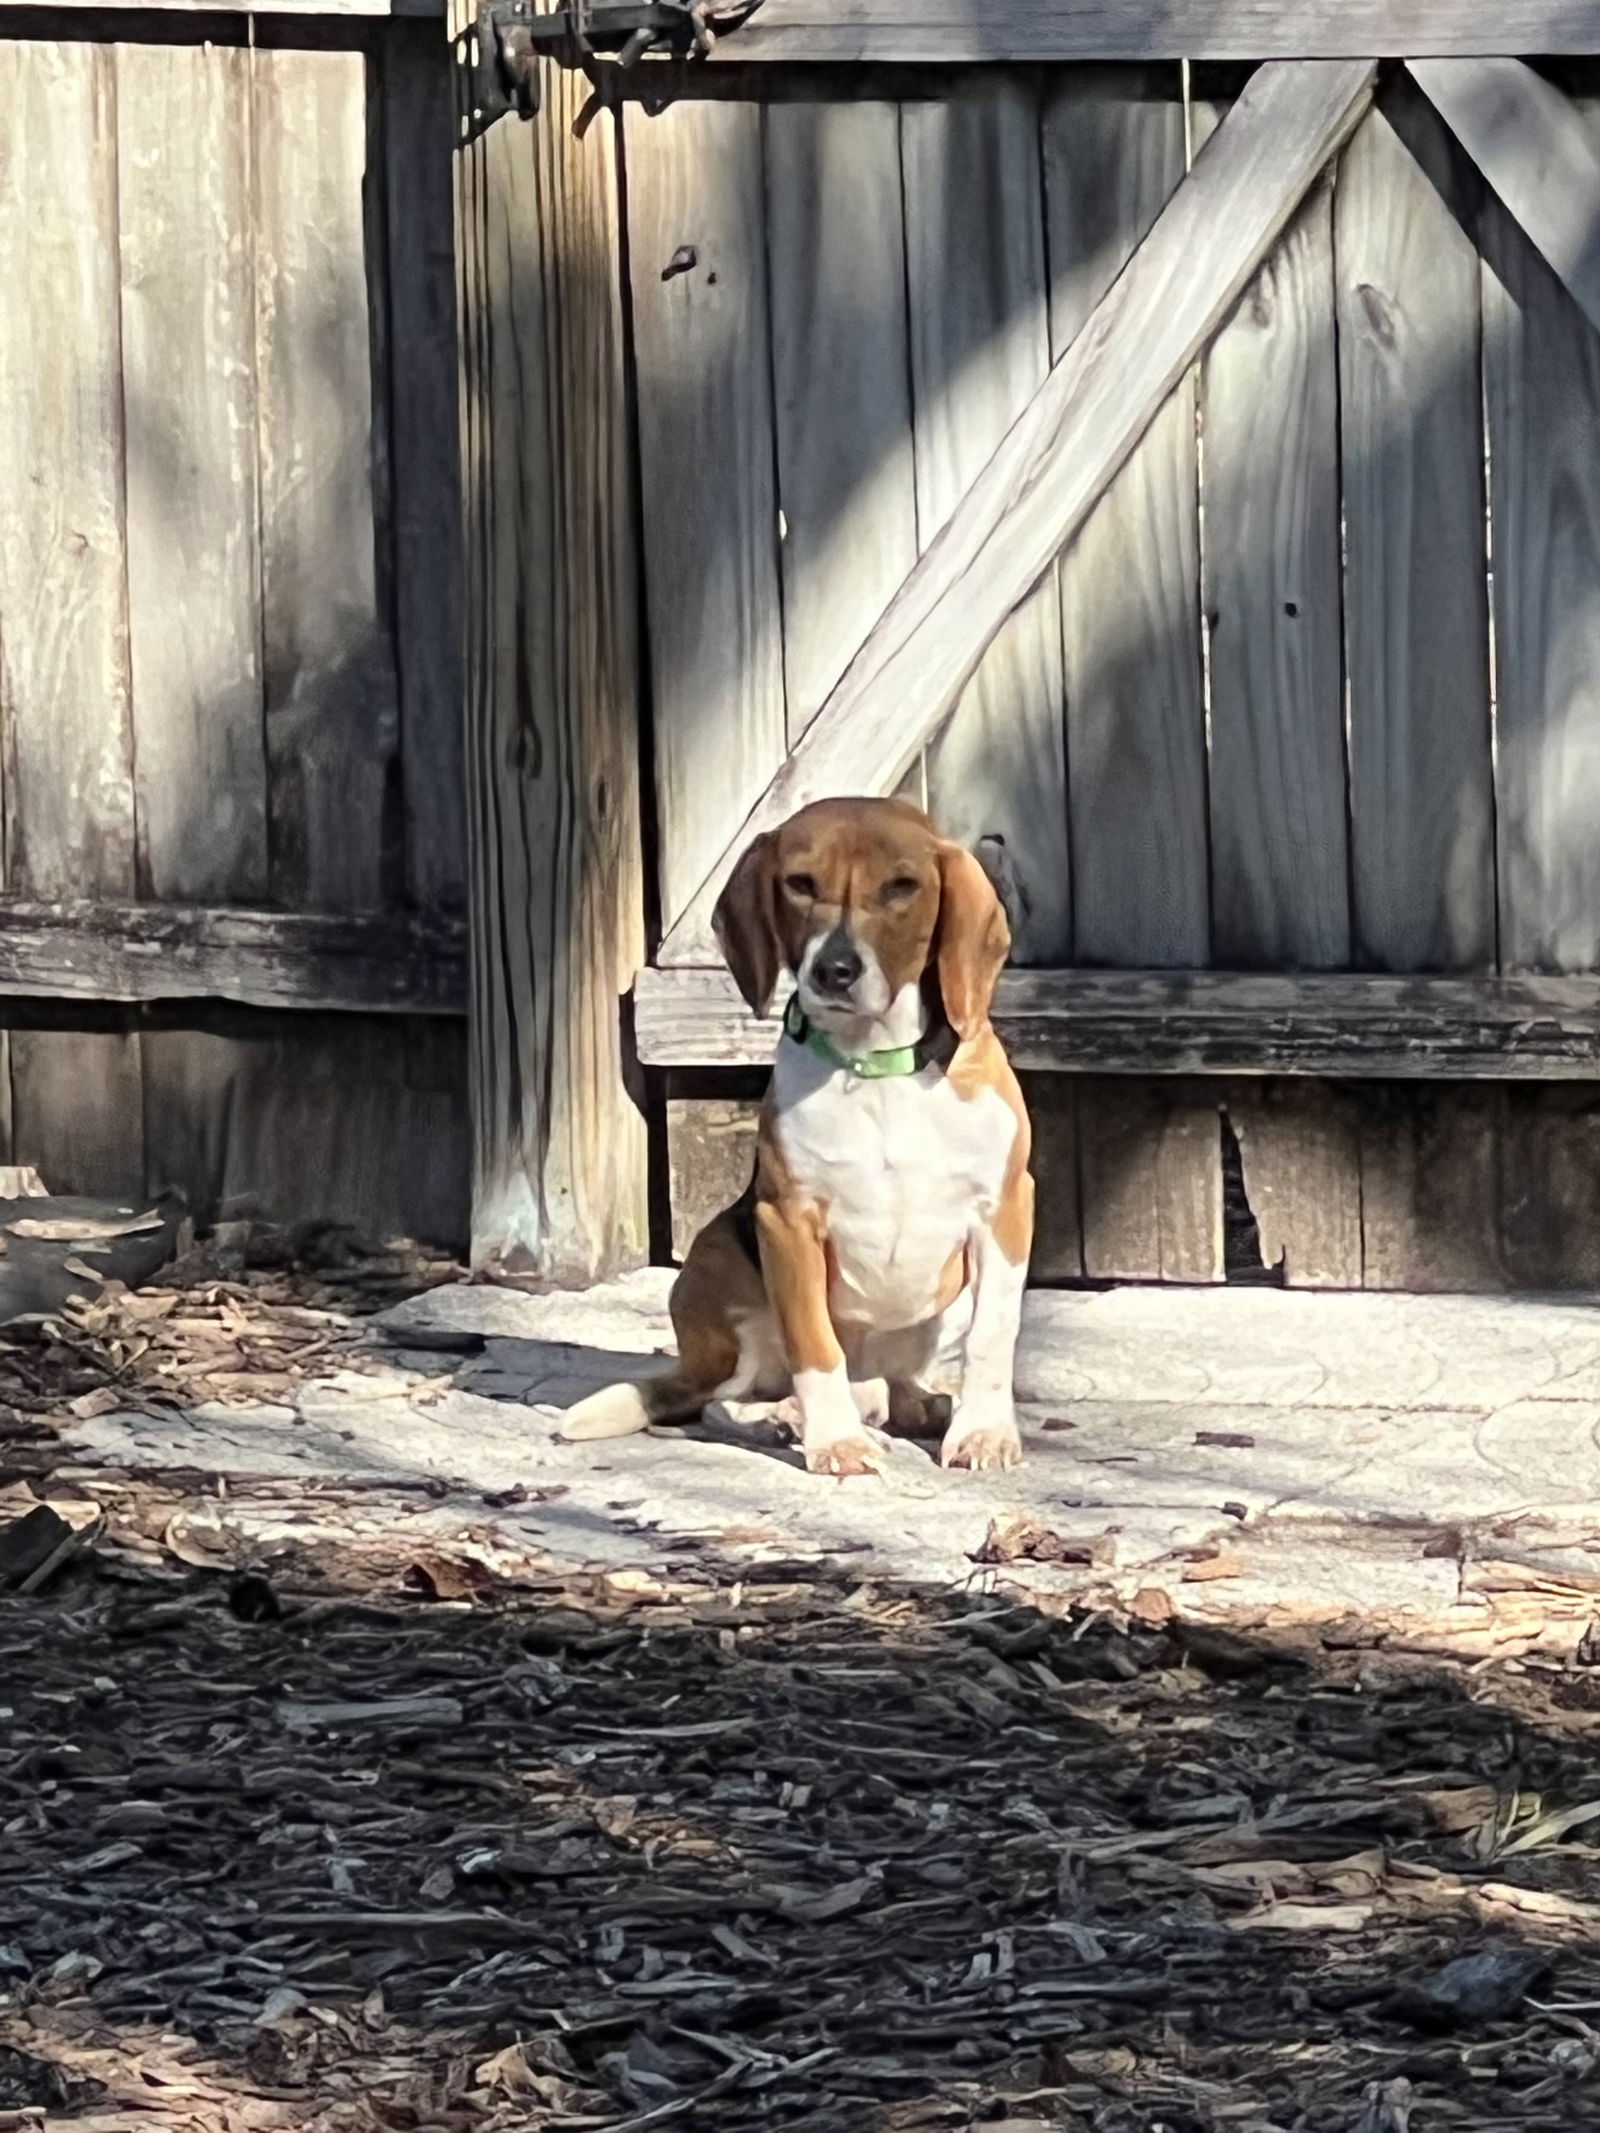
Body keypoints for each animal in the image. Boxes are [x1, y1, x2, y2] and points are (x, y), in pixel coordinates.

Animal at [563, 793, 1041, 1476]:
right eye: (800, 883)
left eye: (901, 887)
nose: (835, 970)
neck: (876, 1066)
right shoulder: (786, 1221)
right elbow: (815, 1346)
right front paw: (836, 1442)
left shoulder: (1004, 1210)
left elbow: (993, 1335)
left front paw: (982, 1433)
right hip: (721, 1266)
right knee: (727, 1400)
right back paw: (786, 1418)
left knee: (890, 1388)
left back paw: (914, 1407)